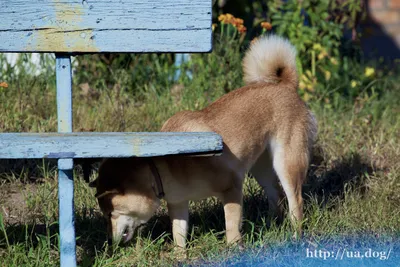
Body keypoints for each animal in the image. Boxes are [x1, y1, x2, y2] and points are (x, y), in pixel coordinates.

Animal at [89, 35, 318, 251]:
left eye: (110, 213)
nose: (108, 241)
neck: (165, 167)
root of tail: (286, 86)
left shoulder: (231, 187)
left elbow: (231, 226)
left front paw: (234, 250)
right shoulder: (178, 203)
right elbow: (178, 233)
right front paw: (179, 256)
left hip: (286, 164)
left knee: (295, 203)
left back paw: (295, 237)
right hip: (261, 169)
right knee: (276, 196)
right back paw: (271, 227)